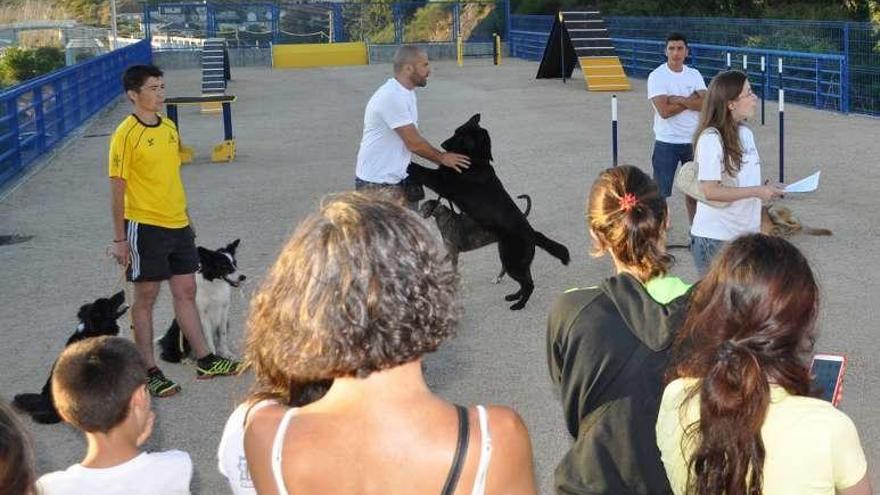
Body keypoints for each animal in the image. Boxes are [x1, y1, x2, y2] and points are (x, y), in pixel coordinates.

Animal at [408, 115, 572, 310]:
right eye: (456, 131)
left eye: (460, 135)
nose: (443, 144)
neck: (476, 160)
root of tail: (532, 233)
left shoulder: (442, 182)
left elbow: (421, 170)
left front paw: (408, 164)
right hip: (511, 260)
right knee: (526, 281)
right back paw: (514, 296)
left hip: (512, 262)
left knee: (529, 284)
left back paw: (519, 304)